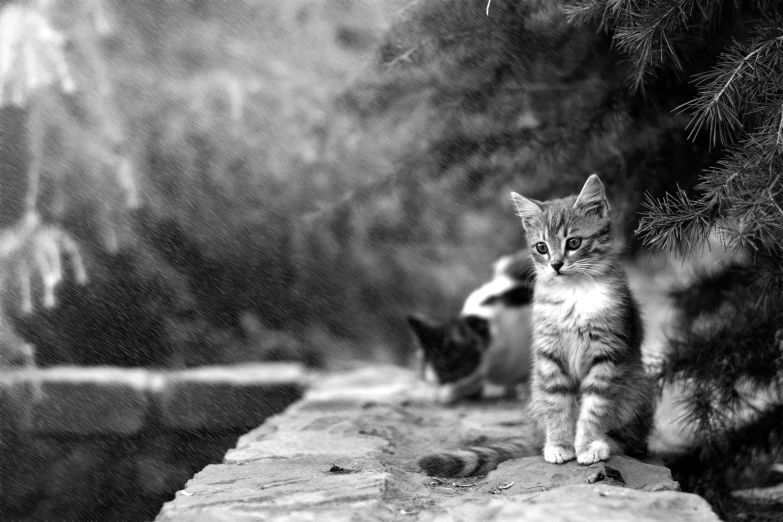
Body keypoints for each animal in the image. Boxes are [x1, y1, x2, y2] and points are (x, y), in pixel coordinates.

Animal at [416, 173, 656, 474]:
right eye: (541, 247)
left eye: (573, 243)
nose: (555, 264)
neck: (573, 292)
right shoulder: (548, 354)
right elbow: (556, 402)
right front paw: (559, 444)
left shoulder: (608, 351)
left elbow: (595, 405)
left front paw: (588, 444)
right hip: (535, 391)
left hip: (638, 389)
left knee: (635, 442)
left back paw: (611, 443)